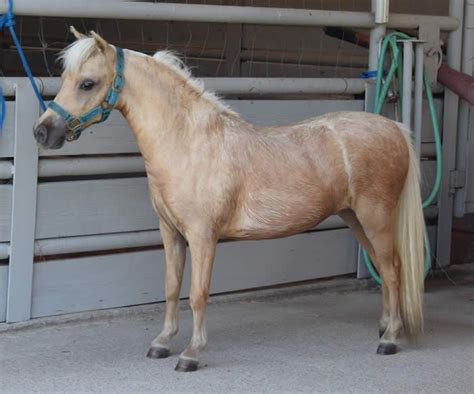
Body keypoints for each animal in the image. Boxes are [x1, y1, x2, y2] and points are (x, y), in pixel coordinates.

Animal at [34, 30, 426, 372]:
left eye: (87, 83)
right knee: (386, 268)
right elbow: (171, 287)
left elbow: (197, 294)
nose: (43, 131)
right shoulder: (171, 233)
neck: (188, 144)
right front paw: (162, 343)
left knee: (392, 269)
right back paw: (384, 327)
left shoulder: (202, 236)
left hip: (375, 217)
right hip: (355, 218)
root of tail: (394, 129)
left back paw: (390, 339)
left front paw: (191, 354)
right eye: (66, 76)